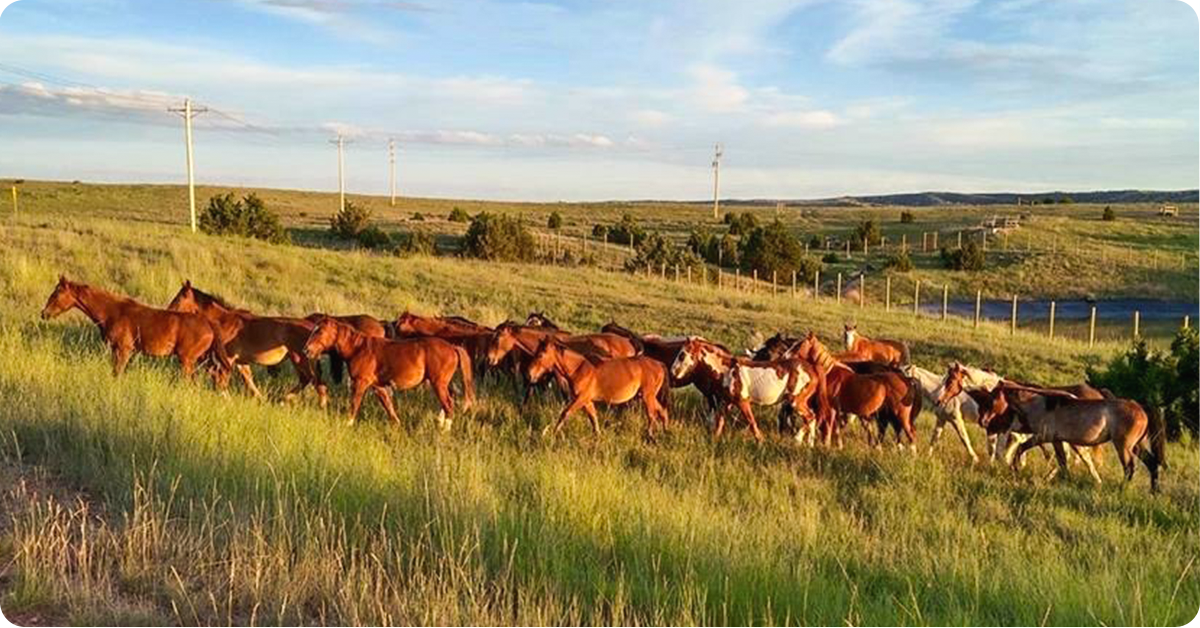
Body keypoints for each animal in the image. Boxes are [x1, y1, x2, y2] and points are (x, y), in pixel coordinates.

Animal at [41, 276, 229, 384]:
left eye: (57, 294)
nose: (44, 313)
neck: (112, 311)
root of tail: (209, 323)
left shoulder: (124, 350)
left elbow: (117, 374)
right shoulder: (116, 350)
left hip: (187, 361)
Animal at [168, 280, 328, 405]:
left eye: (179, 299)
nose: (169, 311)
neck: (223, 321)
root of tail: (313, 327)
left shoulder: (229, 358)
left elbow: (222, 380)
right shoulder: (241, 361)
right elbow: (249, 380)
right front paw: (261, 400)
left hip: (300, 359)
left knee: (314, 381)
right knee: (310, 381)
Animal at [302, 317, 475, 429]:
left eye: (320, 332)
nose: (306, 350)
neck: (358, 349)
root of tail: (453, 347)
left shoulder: (360, 383)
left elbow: (355, 403)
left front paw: (348, 423)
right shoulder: (377, 386)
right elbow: (388, 405)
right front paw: (397, 424)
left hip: (438, 383)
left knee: (449, 404)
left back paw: (444, 430)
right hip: (443, 383)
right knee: (449, 398)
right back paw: (440, 422)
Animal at [528, 338, 672, 437]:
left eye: (540, 355)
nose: (529, 374)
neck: (579, 369)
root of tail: (659, 364)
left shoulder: (580, 399)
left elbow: (565, 413)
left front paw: (553, 433)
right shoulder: (587, 401)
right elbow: (593, 418)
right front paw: (597, 436)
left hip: (647, 397)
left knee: (652, 414)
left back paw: (650, 435)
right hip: (649, 396)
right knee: (661, 411)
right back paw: (665, 430)